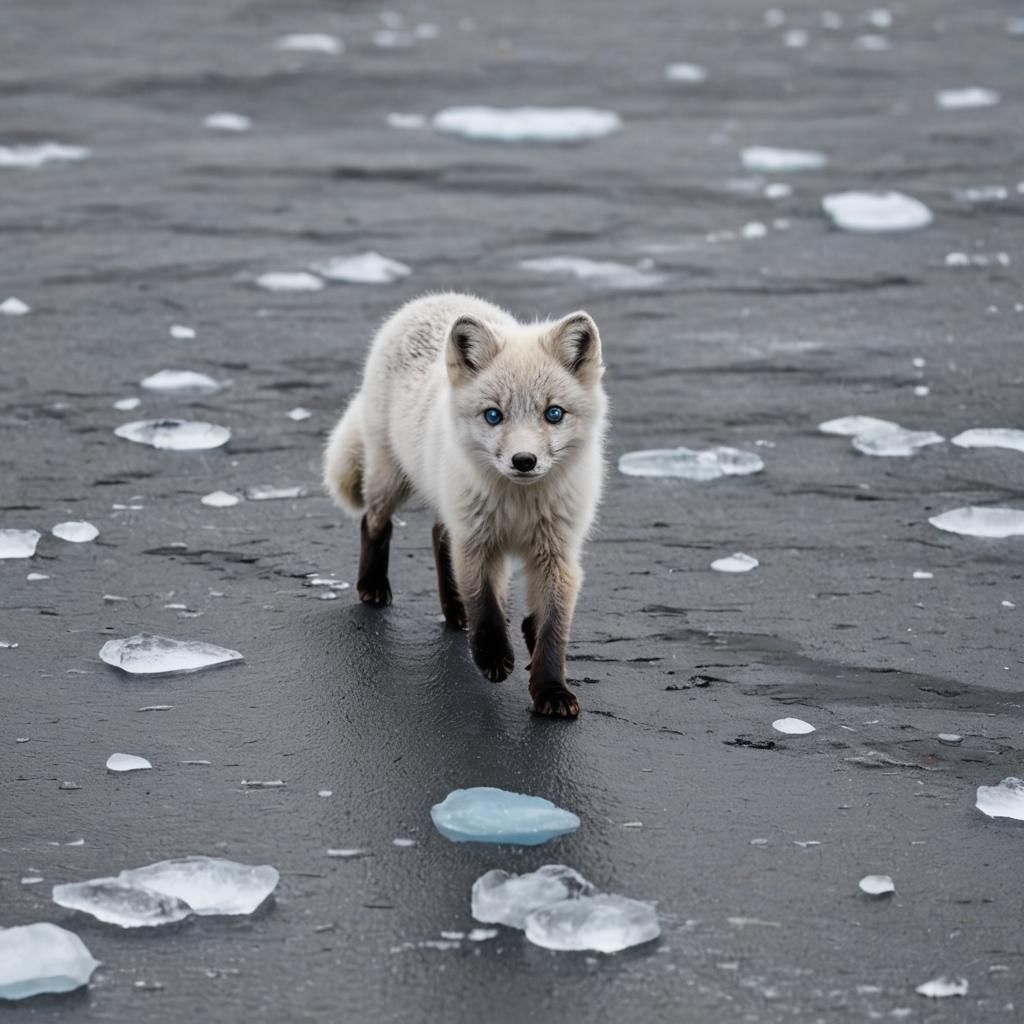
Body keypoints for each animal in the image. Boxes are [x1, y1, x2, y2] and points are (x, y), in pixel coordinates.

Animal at [323, 292, 608, 718]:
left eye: (553, 413)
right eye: (493, 415)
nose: (524, 461)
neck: (519, 506)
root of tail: (435, 298)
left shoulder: (557, 553)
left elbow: (552, 628)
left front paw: (551, 689)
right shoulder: (477, 542)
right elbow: (485, 604)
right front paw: (492, 656)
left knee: (438, 534)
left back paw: (457, 611)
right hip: (391, 479)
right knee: (374, 523)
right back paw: (373, 586)